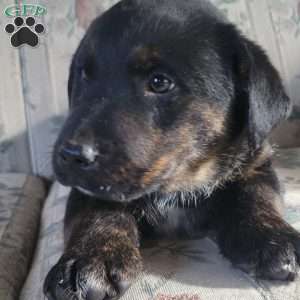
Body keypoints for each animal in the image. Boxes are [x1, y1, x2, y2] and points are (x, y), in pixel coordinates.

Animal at [44, 0, 300, 300]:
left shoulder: (256, 162)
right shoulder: (90, 188)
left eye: (160, 82)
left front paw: (272, 236)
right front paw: (91, 257)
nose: (72, 155)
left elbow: (257, 195)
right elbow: (96, 212)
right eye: (84, 74)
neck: (176, 185)